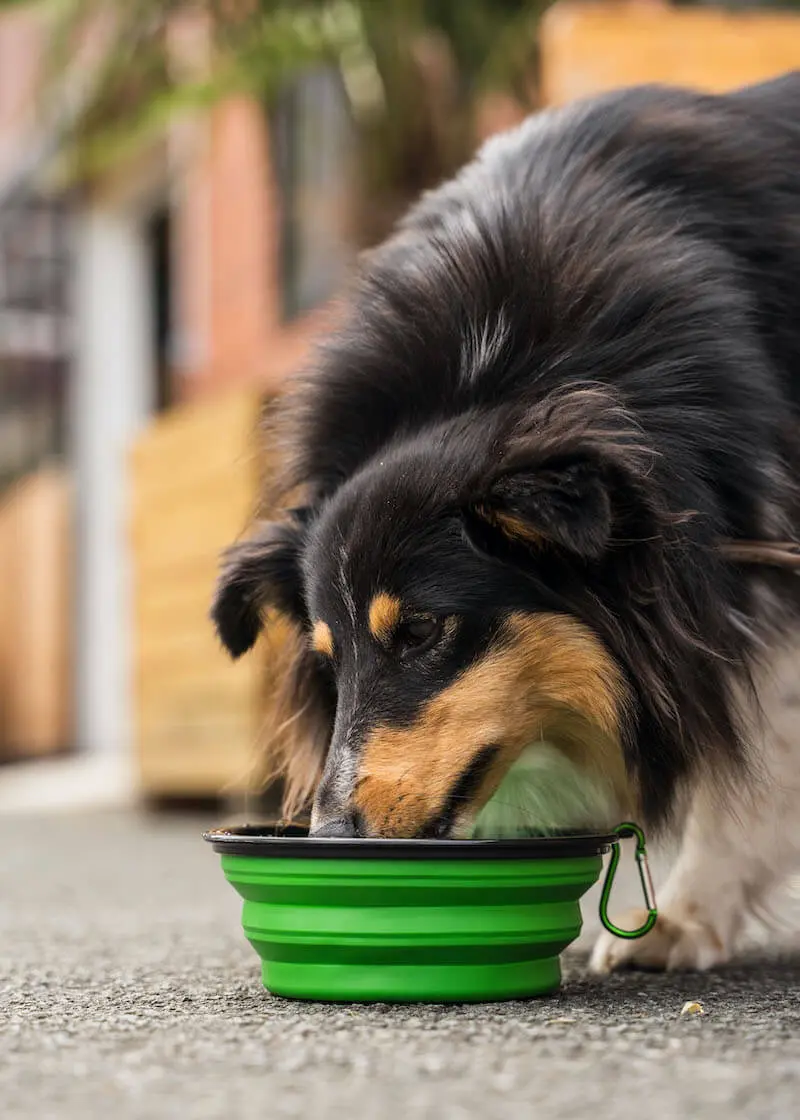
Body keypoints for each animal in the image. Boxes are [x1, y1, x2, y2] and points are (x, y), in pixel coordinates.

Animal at [210, 76, 797, 972]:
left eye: (420, 631)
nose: (334, 834)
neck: (498, 373)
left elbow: (762, 756)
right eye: (328, 661)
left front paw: (682, 917)